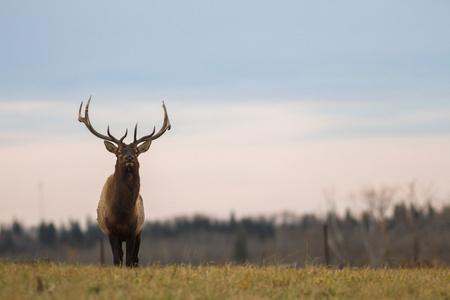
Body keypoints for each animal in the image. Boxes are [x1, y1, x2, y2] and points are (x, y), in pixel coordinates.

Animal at [77, 97, 171, 268]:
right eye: (119, 151)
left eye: (136, 152)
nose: (129, 157)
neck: (122, 213)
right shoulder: (111, 231)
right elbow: (116, 260)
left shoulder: (133, 230)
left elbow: (128, 261)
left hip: (140, 232)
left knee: (135, 259)